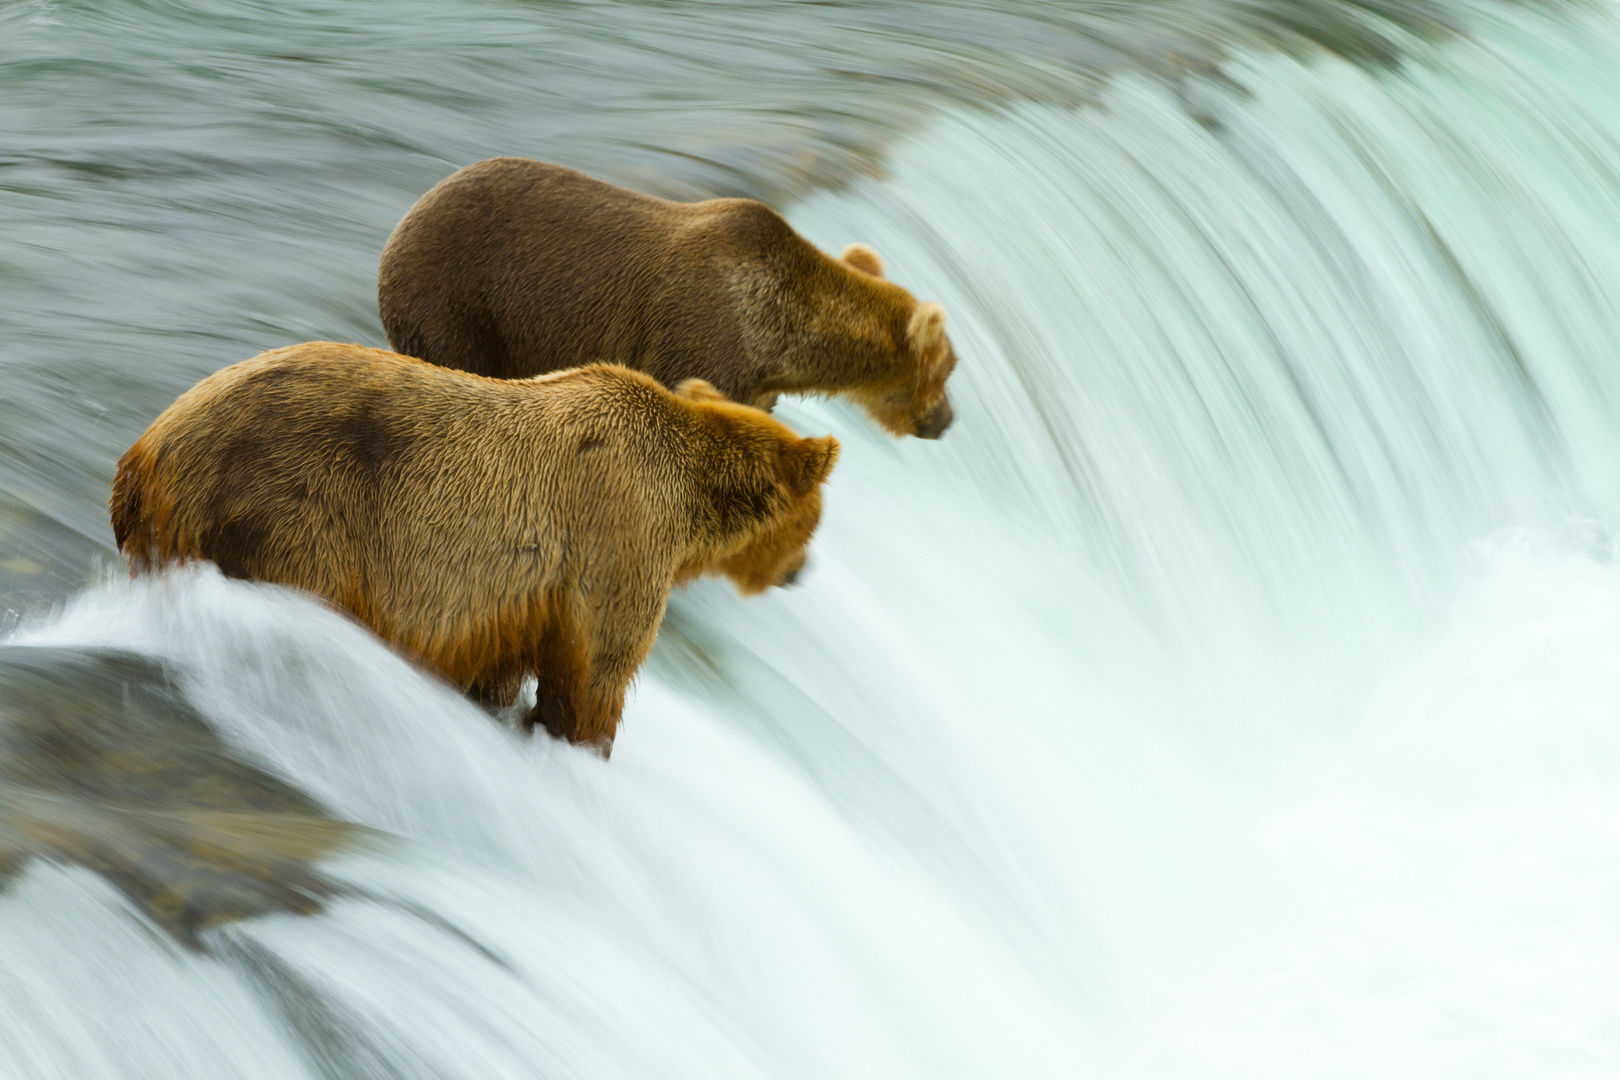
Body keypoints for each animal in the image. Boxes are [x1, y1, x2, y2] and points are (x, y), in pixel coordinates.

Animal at [115, 341, 842, 757]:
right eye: (816, 520)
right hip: (293, 510)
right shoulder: (616, 537)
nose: (804, 571)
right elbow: (596, 670)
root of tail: (145, 454)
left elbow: (503, 664)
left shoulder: (513, 598)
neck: (687, 509)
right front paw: (581, 744)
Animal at [375, 155, 959, 440]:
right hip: (456, 305)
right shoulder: (699, 338)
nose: (947, 420)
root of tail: (403, 220)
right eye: (950, 367)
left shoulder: (752, 381)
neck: (775, 336)